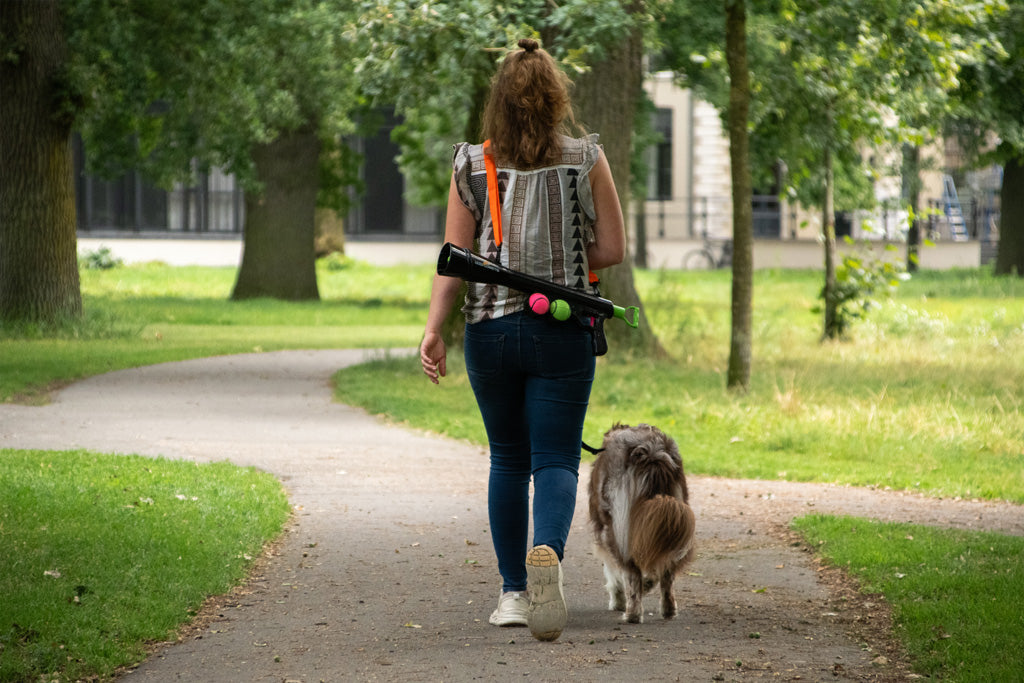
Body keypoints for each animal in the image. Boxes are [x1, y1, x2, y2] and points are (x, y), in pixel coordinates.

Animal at [585, 423, 696, 622]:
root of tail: (652, 451)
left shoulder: (607, 532)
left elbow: (612, 571)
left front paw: (617, 600)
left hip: (619, 529)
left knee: (631, 573)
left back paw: (632, 614)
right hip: (674, 518)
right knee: (667, 572)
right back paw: (668, 609)